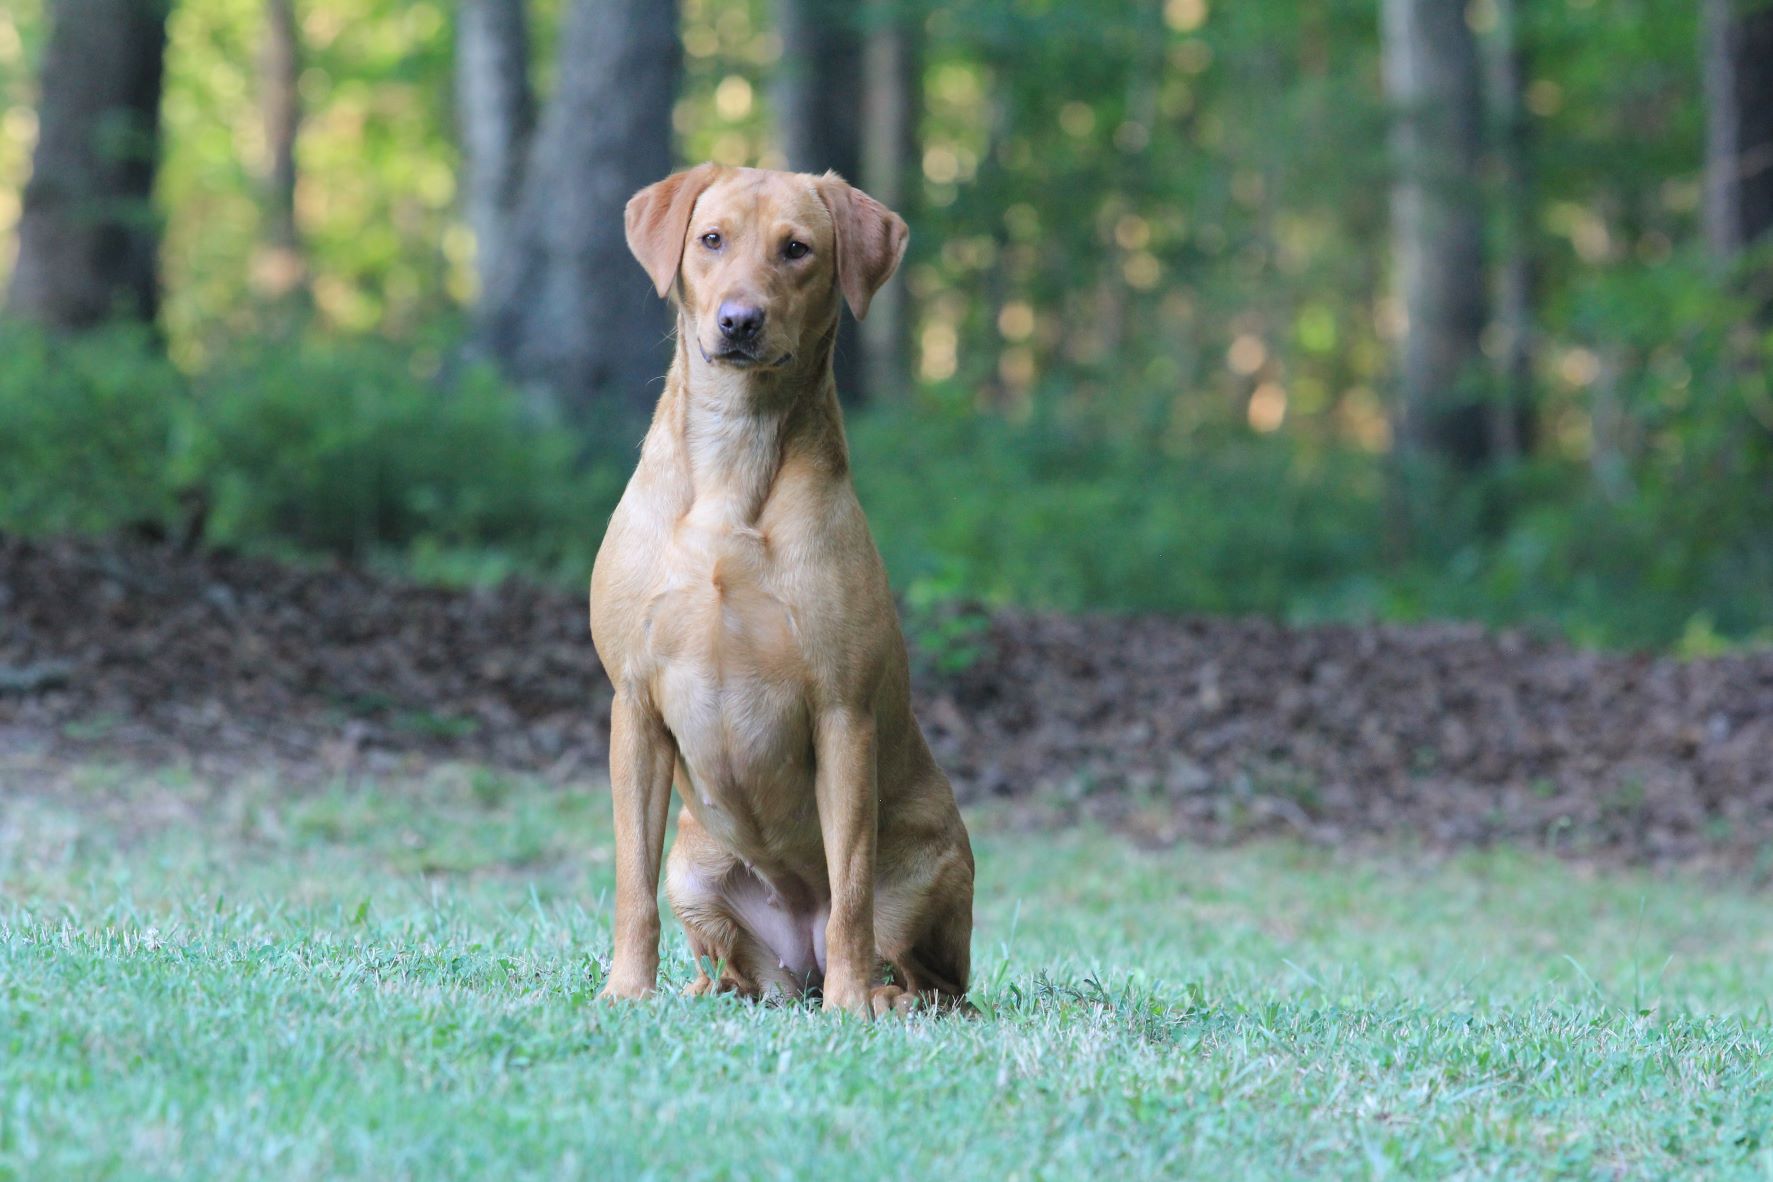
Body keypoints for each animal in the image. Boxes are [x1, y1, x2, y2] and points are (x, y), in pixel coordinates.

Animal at [595, 163, 985, 1020]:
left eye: (797, 249)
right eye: (711, 239)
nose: (739, 321)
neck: (734, 454)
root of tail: (792, 962)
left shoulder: (841, 710)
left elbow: (849, 894)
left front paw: (851, 1008)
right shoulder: (633, 703)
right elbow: (630, 882)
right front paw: (626, 989)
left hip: (924, 872)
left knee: (929, 977)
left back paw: (875, 995)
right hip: (696, 868)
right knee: (738, 963)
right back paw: (712, 985)